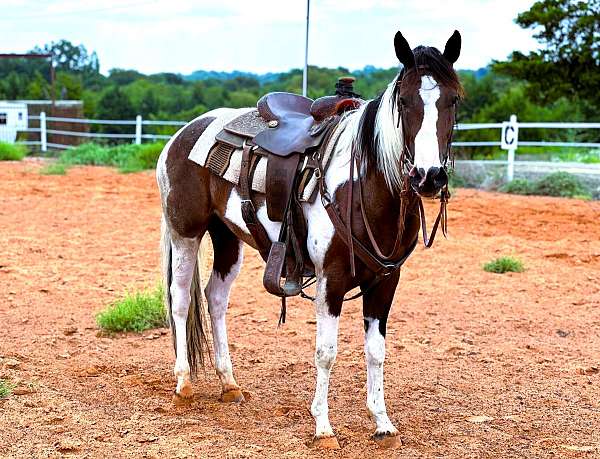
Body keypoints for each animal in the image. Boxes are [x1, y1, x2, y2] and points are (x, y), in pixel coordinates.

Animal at [156, 30, 464, 448]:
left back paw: (229, 384)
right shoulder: (331, 279)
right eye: (403, 101)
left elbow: (376, 351)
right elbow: (326, 352)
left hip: (227, 238)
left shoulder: (385, 281)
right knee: (181, 300)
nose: (429, 177)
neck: (365, 185)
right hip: (185, 233)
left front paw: (382, 422)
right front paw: (323, 427)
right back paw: (184, 385)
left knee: (215, 298)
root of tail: (180, 136)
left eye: (453, 99)